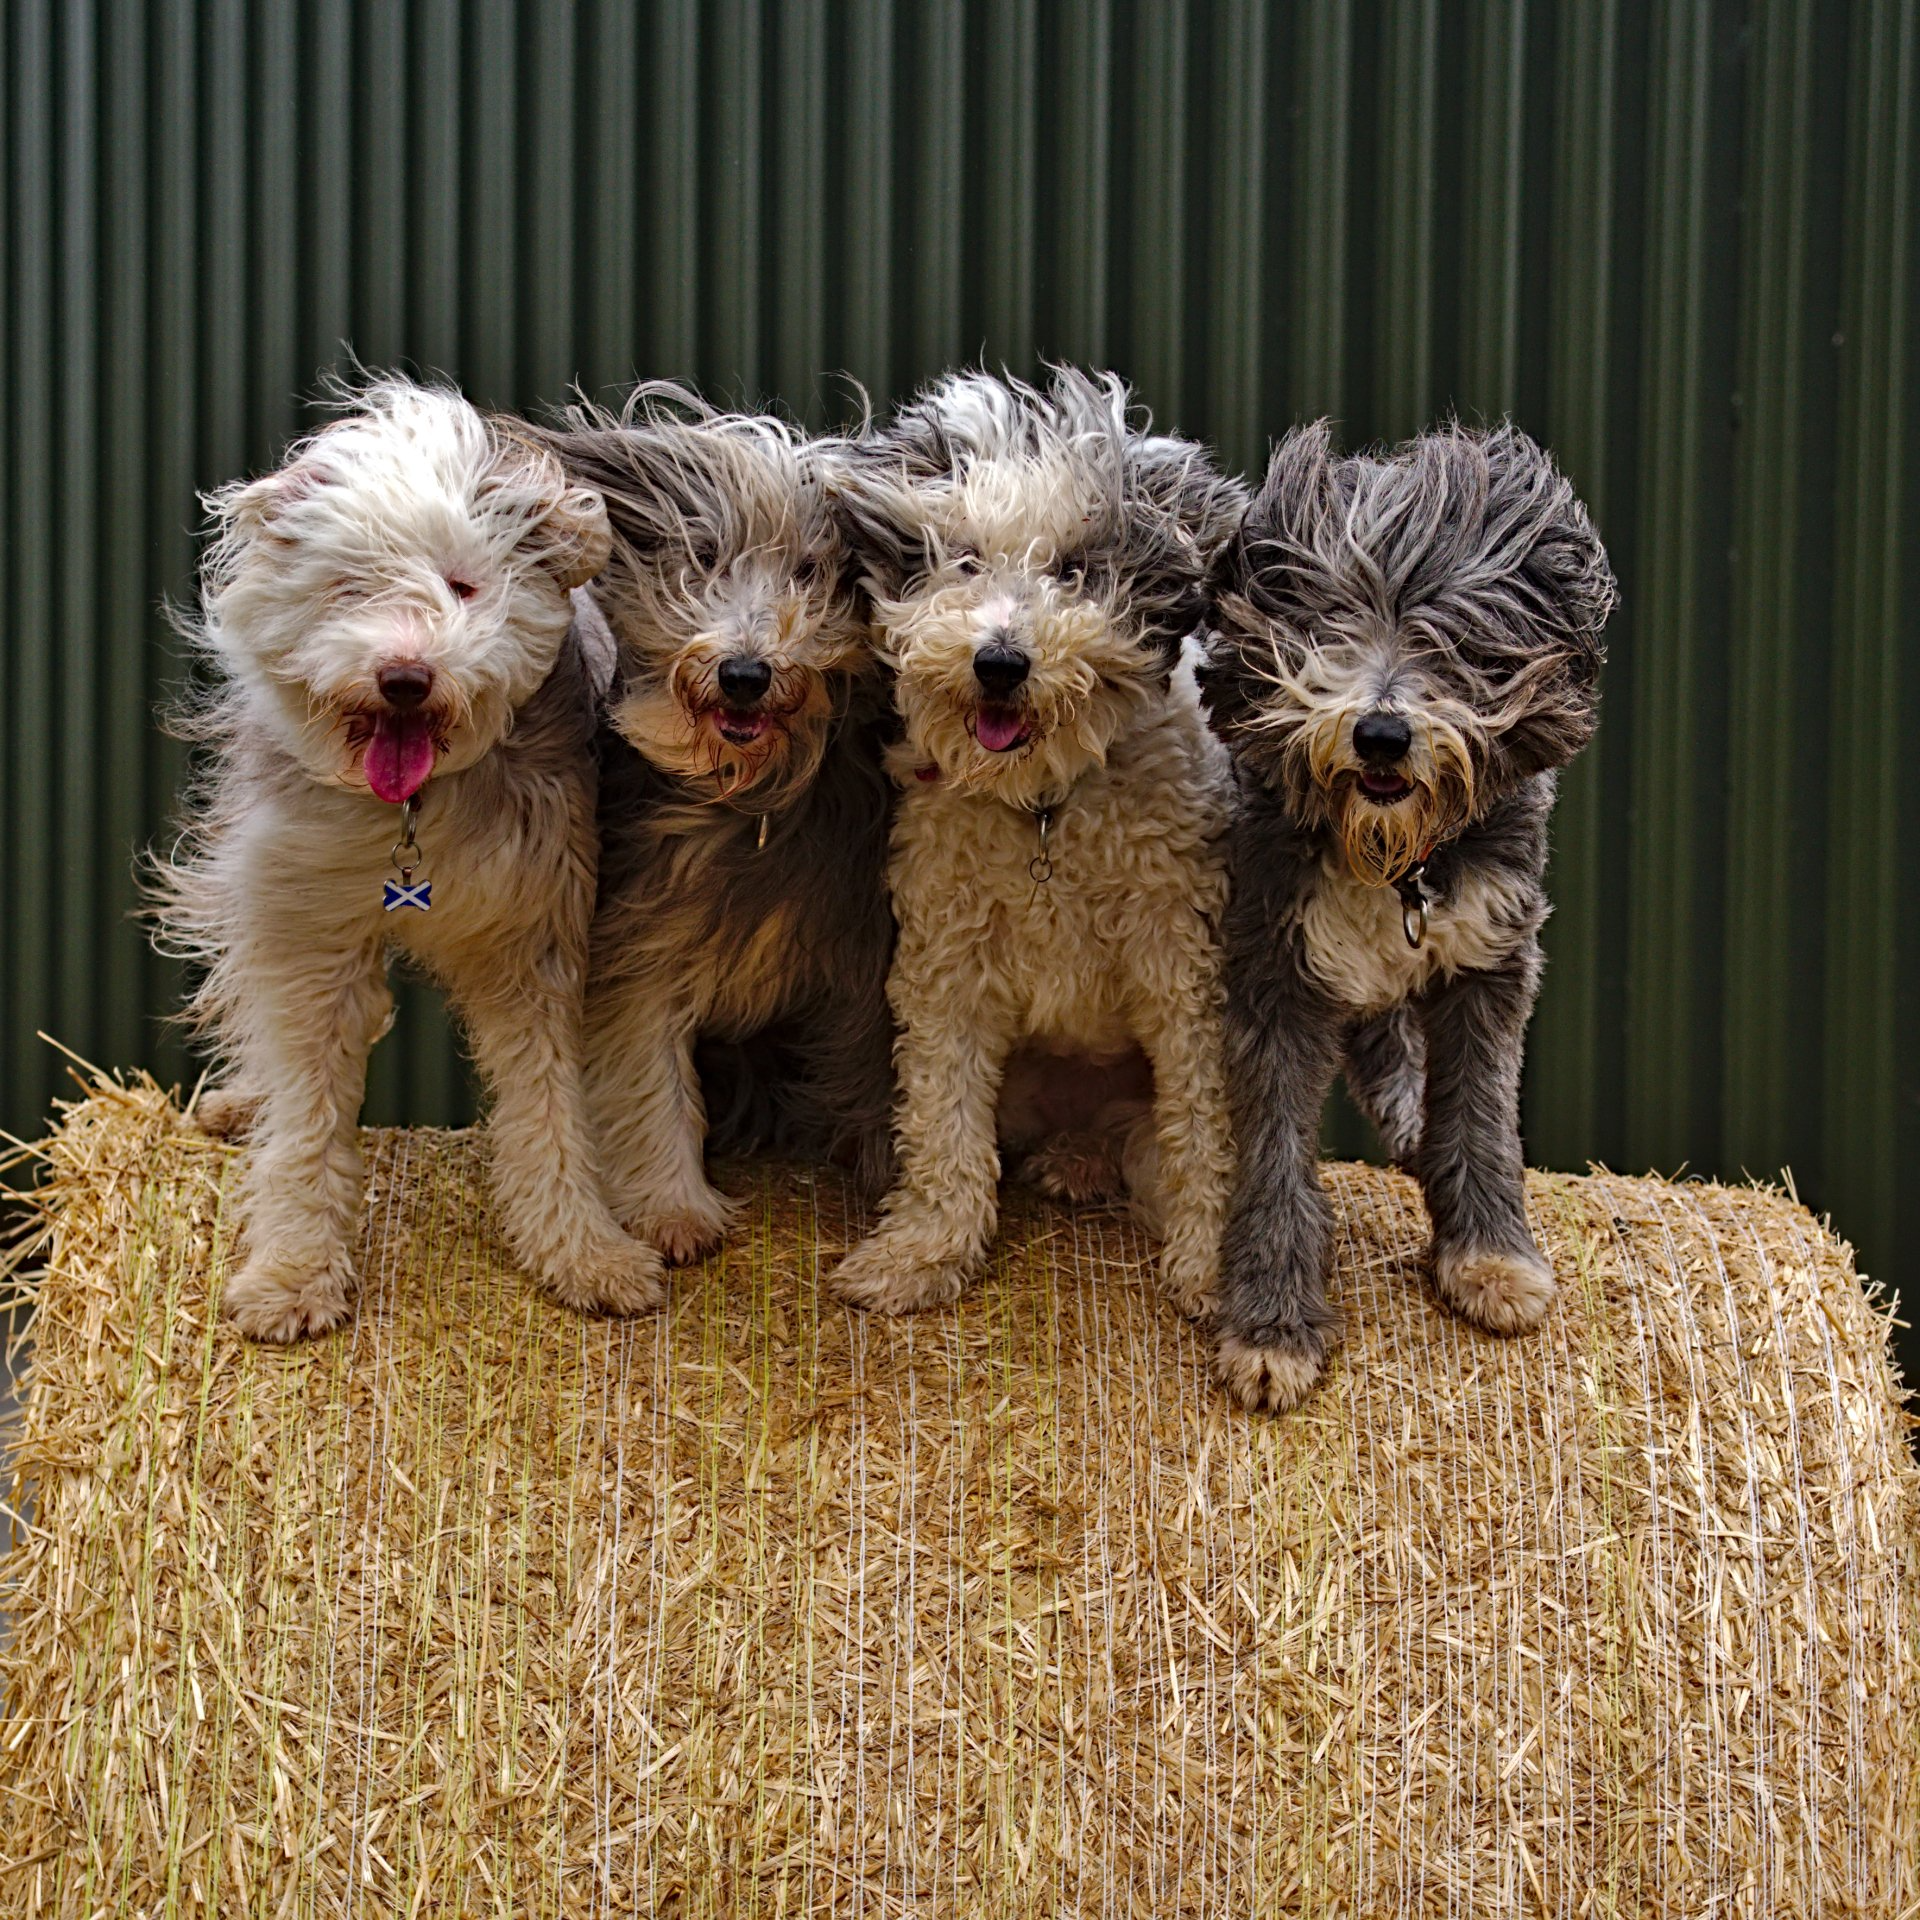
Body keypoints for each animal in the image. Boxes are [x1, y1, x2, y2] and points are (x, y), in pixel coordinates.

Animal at [154, 378, 666, 1340]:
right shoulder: (309, 927)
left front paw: (582, 1250)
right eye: (349, 587)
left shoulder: (535, 934)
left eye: (463, 586)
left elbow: (550, 1104)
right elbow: (307, 1112)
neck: (413, 815)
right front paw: (293, 1270)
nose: (404, 677)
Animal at [531, 389, 896, 1265]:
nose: (744, 673)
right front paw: (673, 1208)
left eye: (810, 571)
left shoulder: (866, 955)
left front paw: (882, 1172)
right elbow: (650, 1080)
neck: (753, 797)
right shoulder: (640, 944)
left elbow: (874, 1064)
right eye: (704, 557)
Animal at [826, 367, 1246, 1318]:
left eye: (1077, 570)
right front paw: (920, 1256)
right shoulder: (945, 962)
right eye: (964, 559)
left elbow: (1203, 1124)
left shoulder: (1182, 958)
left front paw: (1212, 1267)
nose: (1000, 661)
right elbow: (943, 1125)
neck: (1045, 808)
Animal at [1200, 419, 1616, 1411]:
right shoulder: (1274, 966)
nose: (1382, 735)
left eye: (1450, 632)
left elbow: (1479, 1115)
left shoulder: (1489, 959)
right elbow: (1274, 1151)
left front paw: (1492, 1258)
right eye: (1330, 617)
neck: (1395, 864)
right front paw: (1271, 1327)